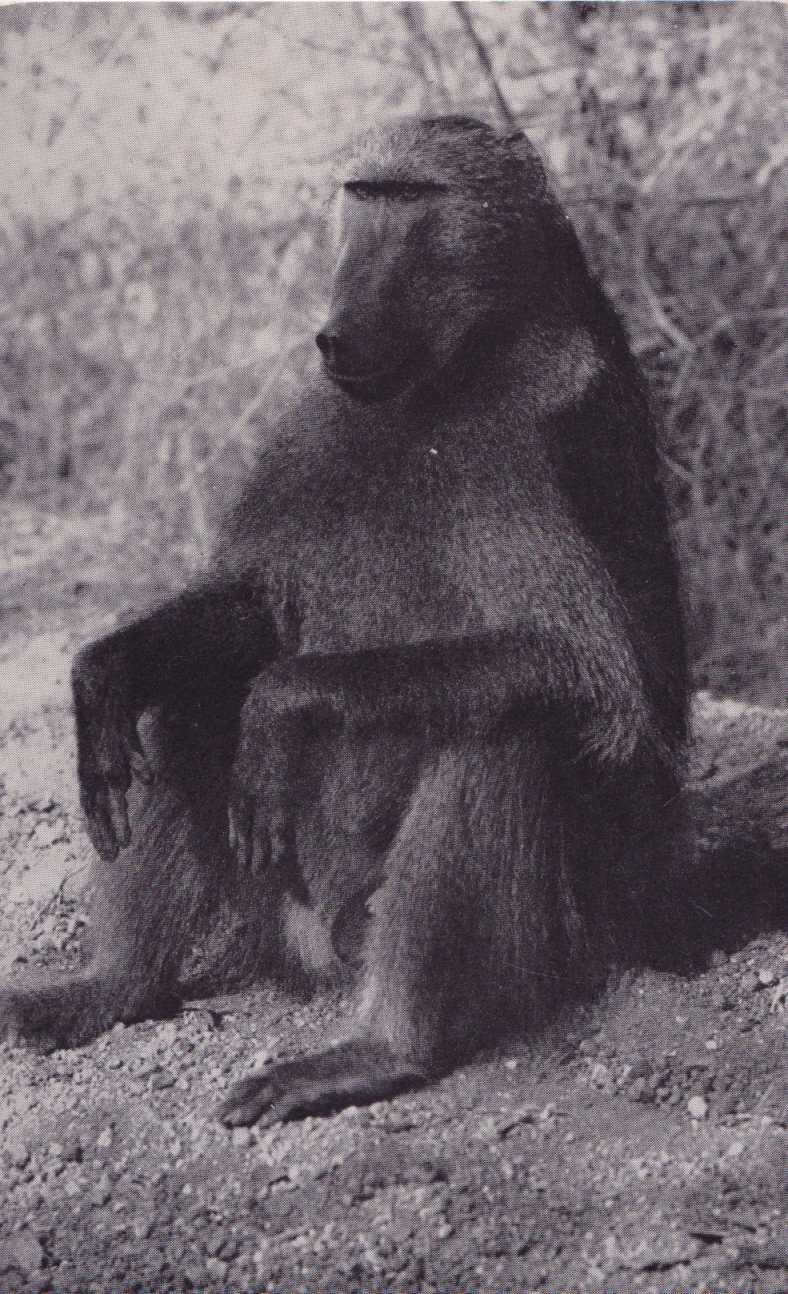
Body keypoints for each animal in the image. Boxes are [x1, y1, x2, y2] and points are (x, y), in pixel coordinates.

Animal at [0, 116, 689, 1126]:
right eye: (362, 197)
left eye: (412, 201)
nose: (333, 331)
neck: (448, 370)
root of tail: (330, 950)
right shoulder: (313, 424)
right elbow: (251, 612)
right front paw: (103, 672)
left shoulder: (533, 429)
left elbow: (589, 668)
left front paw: (284, 706)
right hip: (278, 904)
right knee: (181, 701)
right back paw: (108, 988)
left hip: (562, 937)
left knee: (501, 728)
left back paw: (381, 1048)